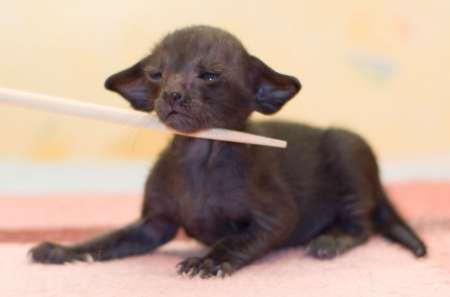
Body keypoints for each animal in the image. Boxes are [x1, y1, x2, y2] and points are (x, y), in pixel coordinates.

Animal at [29, 25, 426, 278]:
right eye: (157, 75)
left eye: (209, 76)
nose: (172, 95)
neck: (201, 153)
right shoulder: (153, 225)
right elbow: (106, 239)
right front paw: (62, 250)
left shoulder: (277, 217)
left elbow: (239, 238)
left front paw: (210, 260)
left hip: (348, 147)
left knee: (363, 226)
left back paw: (331, 240)